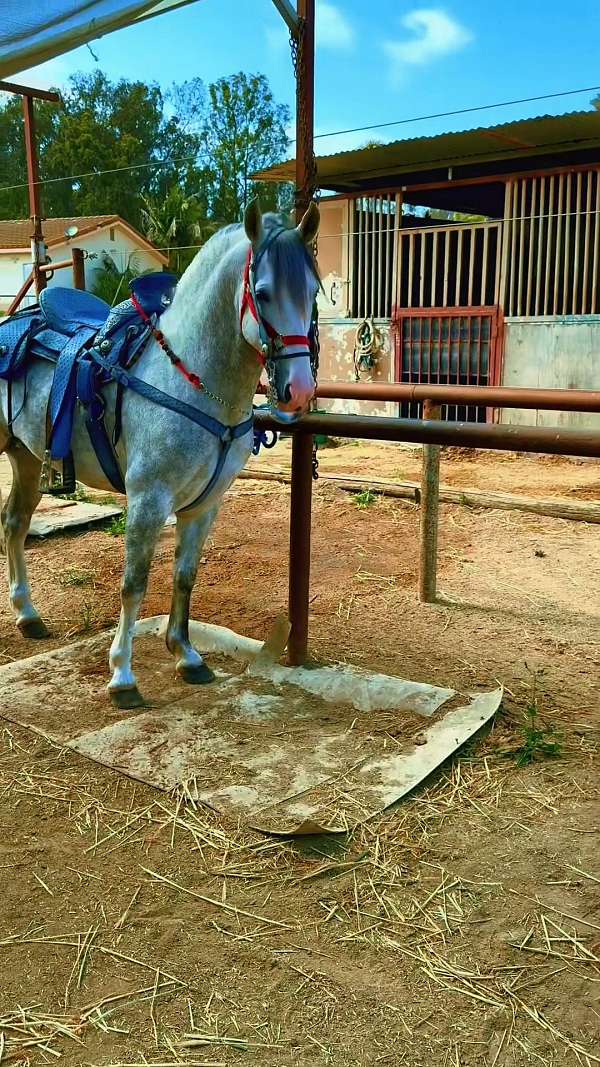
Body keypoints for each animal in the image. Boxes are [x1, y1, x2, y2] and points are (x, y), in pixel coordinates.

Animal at [0, 199, 320, 708]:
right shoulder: (148, 501)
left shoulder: (205, 507)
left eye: (313, 290)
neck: (193, 383)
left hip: (27, 457)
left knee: (14, 524)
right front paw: (122, 676)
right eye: (264, 292)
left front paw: (186, 656)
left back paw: (28, 615)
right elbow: (134, 584)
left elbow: (184, 576)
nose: (300, 391)